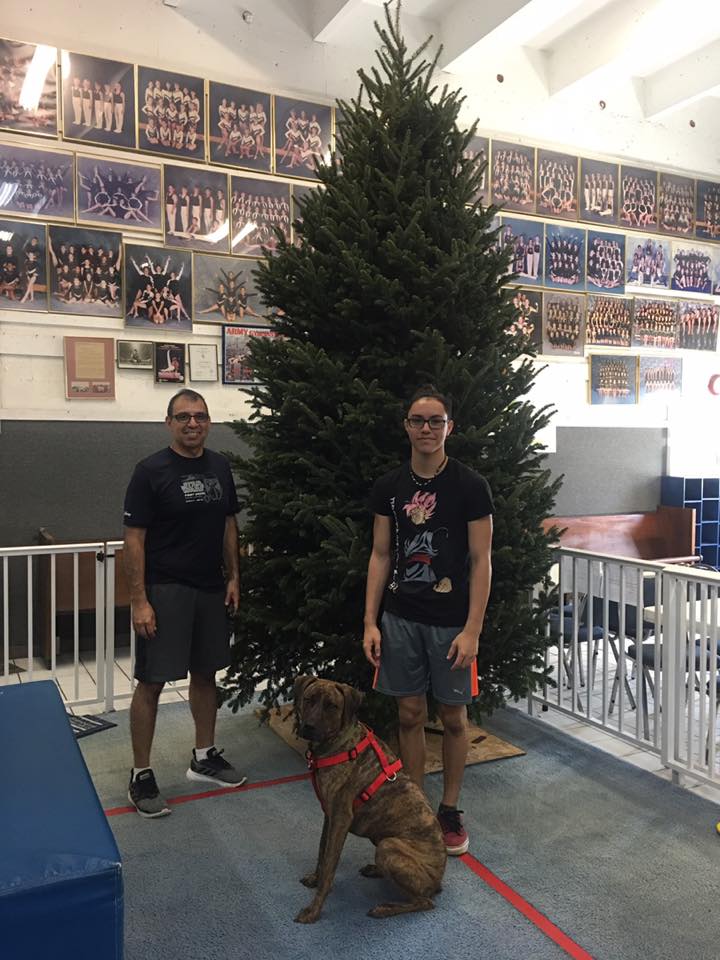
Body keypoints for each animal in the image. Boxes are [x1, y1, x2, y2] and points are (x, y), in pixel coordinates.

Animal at [293, 674, 447, 923]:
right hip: (380, 839)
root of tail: (438, 881)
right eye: (309, 700)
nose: (309, 727)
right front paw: (315, 878)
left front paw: (314, 910)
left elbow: (329, 868)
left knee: (424, 902)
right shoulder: (329, 815)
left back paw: (385, 908)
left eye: (332, 706)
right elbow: (322, 852)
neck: (339, 742)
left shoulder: (341, 819)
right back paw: (376, 870)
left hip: (388, 846)